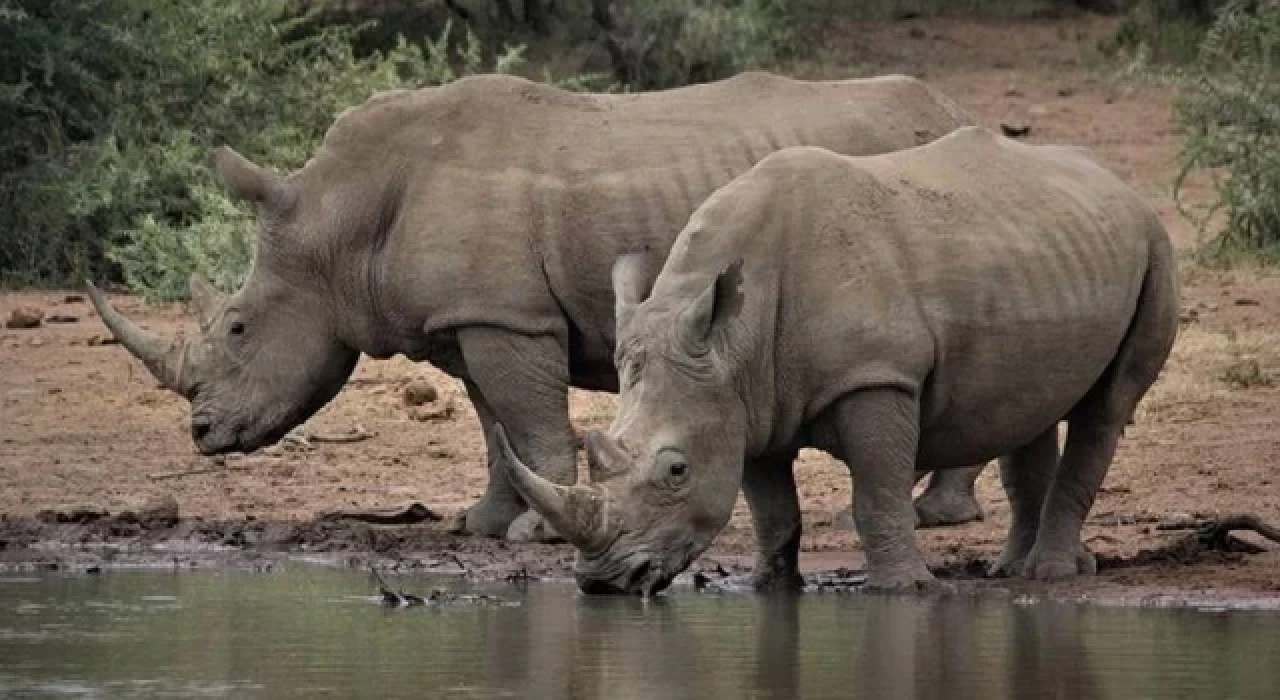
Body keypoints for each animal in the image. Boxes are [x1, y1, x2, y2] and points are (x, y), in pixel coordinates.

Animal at [82, 71, 977, 540]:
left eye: (238, 327)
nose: (202, 434)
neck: (340, 219)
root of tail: (949, 110)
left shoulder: (507, 317)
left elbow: (531, 417)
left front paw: (538, 533)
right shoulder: (471, 317)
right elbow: (494, 425)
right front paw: (482, 524)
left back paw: (935, 519)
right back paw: (939, 513)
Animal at [499, 127, 1177, 596]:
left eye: (675, 471)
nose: (601, 582)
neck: (730, 340)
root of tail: (1121, 186)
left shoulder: (875, 377)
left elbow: (876, 491)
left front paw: (904, 589)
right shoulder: (745, 399)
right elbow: (772, 509)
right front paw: (770, 588)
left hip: (1155, 244)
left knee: (1106, 407)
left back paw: (1049, 576)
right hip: (1047, 251)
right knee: (1026, 409)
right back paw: (1013, 569)